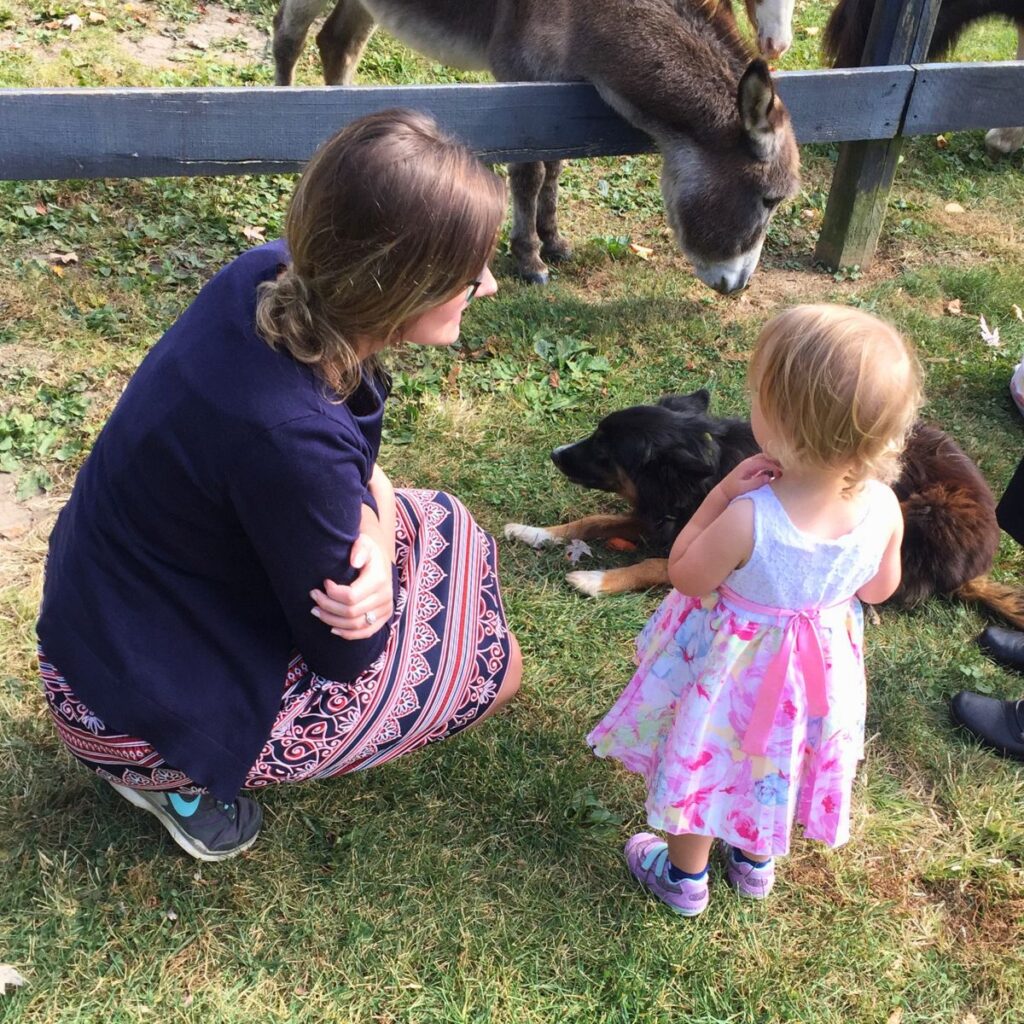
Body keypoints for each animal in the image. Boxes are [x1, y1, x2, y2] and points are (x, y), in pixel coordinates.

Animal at [503, 391, 1024, 626]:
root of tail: (975, 569)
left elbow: (653, 564)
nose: (554, 454)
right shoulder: (662, 516)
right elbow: (595, 519)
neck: (707, 466)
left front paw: (594, 579)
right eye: (596, 434)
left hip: (922, 511)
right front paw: (535, 532)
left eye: (606, 450)